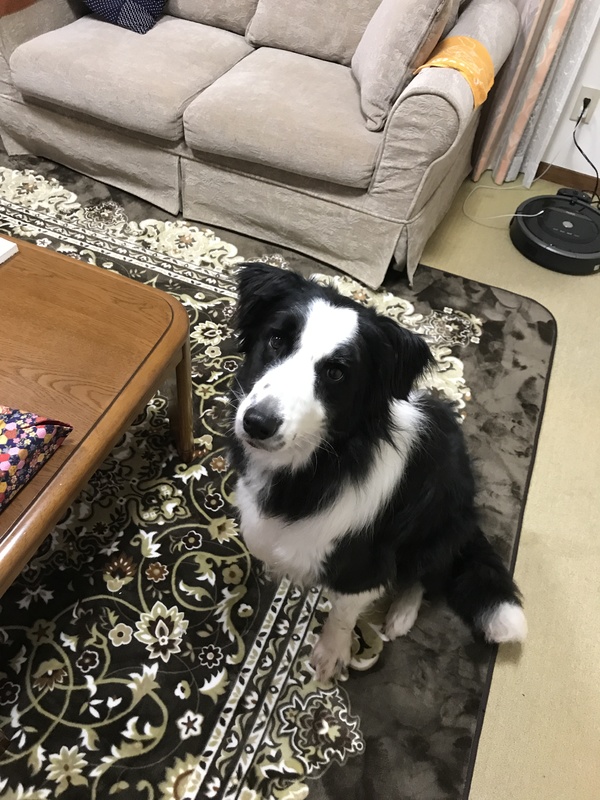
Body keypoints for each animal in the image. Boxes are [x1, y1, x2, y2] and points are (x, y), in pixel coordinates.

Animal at [229, 262, 527, 682]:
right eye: (275, 340)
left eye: (336, 373)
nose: (257, 424)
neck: (316, 466)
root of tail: (469, 515)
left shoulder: (364, 565)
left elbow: (342, 613)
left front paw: (330, 654)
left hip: (436, 532)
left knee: (425, 575)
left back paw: (401, 614)